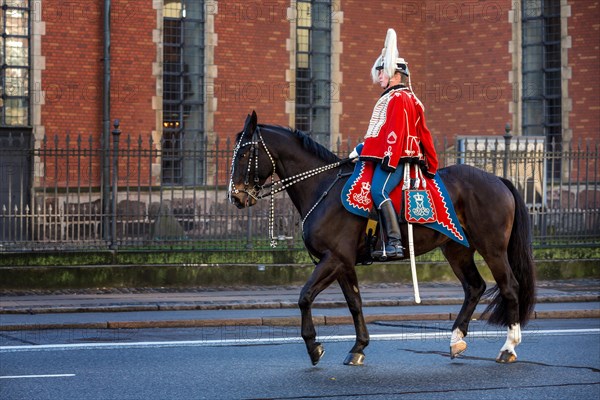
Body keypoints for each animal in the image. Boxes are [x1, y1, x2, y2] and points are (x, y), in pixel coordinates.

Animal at [229, 111, 536, 368]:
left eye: (244, 153)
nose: (236, 196)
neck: (323, 188)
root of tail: (498, 179)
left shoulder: (333, 259)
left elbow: (305, 297)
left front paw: (314, 346)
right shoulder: (343, 263)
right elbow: (355, 303)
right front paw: (358, 347)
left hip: (492, 248)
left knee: (509, 287)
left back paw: (508, 347)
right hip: (457, 250)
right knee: (474, 287)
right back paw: (457, 340)